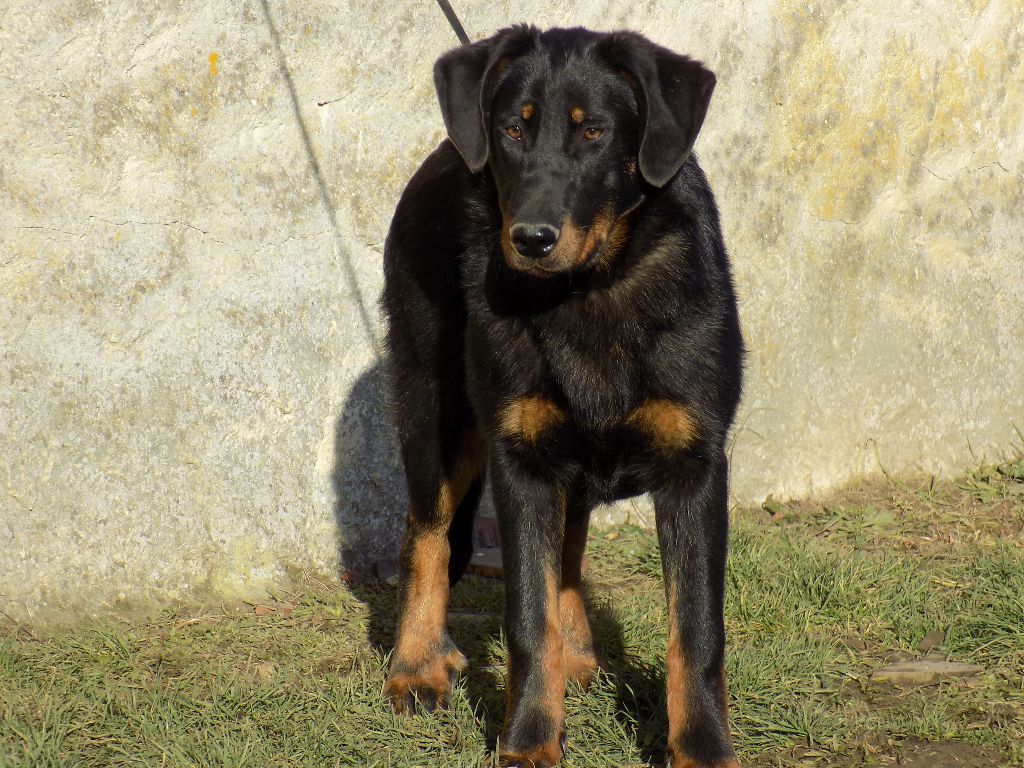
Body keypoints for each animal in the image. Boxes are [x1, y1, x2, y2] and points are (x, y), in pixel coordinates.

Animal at [380, 26, 743, 768]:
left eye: (595, 133)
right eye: (512, 130)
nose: (531, 239)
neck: (592, 286)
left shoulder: (696, 466)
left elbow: (695, 629)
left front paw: (703, 747)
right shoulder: (521, 461)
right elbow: (527, 615)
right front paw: (527, 740)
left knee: (567, 552)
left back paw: (576, 654)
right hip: (436, 409)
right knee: (426, 535)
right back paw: (416, 664)